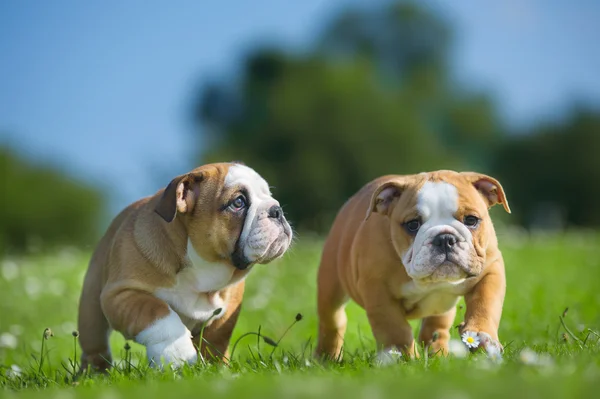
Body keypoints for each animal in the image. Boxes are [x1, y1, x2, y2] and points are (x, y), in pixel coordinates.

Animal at [77, 162, 292, 372]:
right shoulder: (122, 294)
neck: (200, 270)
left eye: (268, 195)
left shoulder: (228, 308)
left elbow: (216, 339)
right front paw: (177, 355)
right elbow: (157, 311)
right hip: (92, 313)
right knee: (95, 348)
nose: (277, 210)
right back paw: (94, 374)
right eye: (238, 202)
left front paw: (215, 369)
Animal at [316, 170, 508, 364]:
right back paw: (325, 358)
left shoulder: (490, 269)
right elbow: (396, 330)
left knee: (436, 327)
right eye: (412, 224)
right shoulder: (378, 292)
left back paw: (440, 355)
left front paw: (481, 335)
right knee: (332, 322)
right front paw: (405, 359)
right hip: (330, 286)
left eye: (471, 220)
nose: (445, 239)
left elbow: (485, 302)